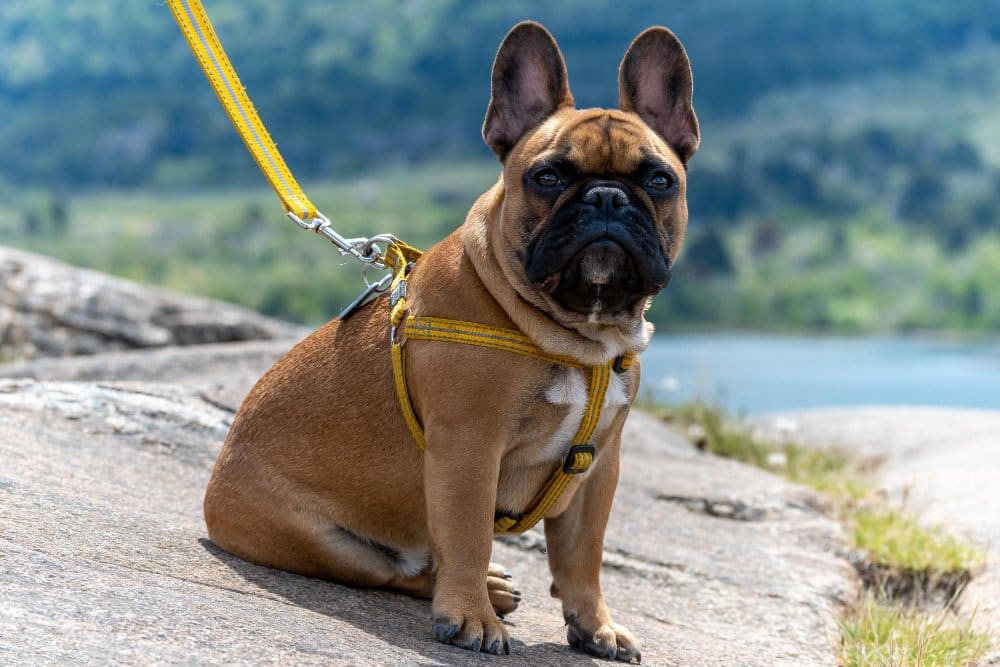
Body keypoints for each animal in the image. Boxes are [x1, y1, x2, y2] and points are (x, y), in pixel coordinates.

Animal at [205, 20, 696, 664]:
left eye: (660, 181)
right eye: (548, 177)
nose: (607, 198)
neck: (574, 337)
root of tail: (213, 489)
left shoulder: (599, 468)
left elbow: (584, 558)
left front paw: (596, 626)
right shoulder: (469, 449)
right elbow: (467, 537)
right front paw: (470, 617)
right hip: (325, 541)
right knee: (398, 571)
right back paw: (476, 594)